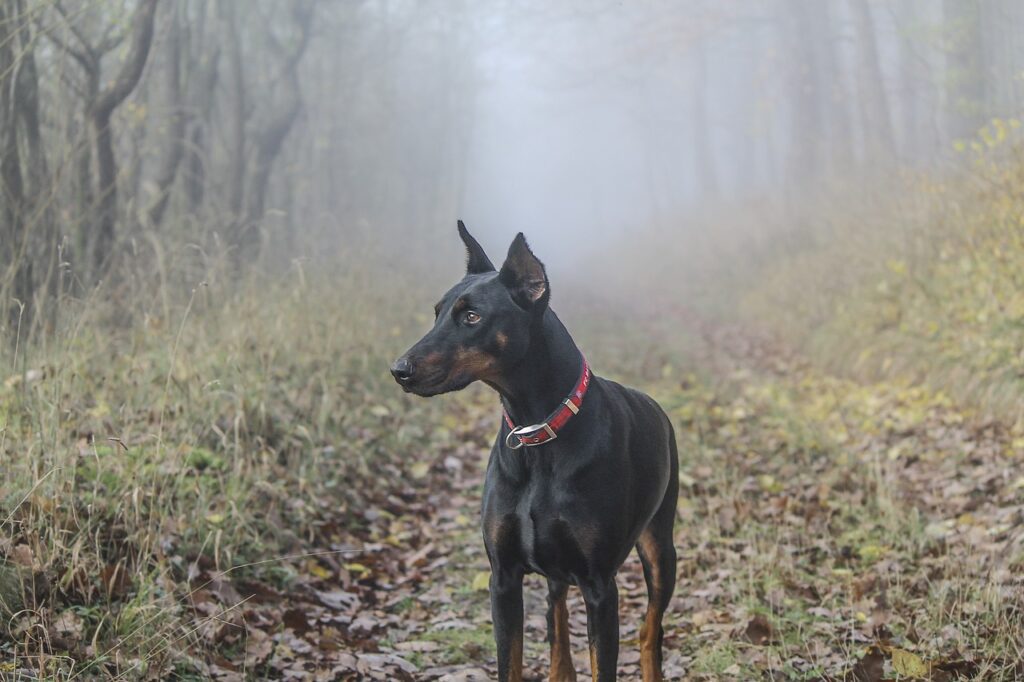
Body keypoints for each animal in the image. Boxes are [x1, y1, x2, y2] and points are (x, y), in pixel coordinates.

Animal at [387, 222, 675, 675]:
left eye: (472, 316)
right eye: (437, 312)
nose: (399, 370)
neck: (537, 433)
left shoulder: (599, 586)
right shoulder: (503, 577)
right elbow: (512, 660)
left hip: (660, 547)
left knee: (650, 630)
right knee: (557, 622)